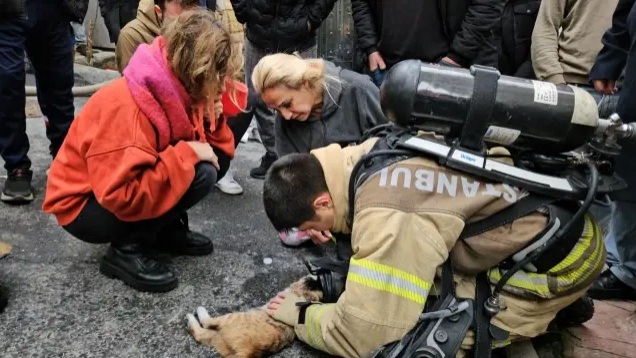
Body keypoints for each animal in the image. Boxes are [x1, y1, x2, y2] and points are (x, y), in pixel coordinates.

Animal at [184, 276, 322, 356]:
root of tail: (250, 350)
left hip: (230, 318)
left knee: (206, 322)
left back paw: (195, 312)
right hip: (218, 339)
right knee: (199, 334)